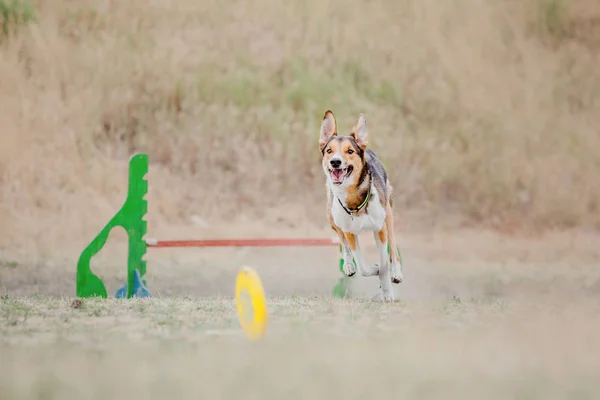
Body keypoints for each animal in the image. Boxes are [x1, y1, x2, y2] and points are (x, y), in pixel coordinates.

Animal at [318, 109, 404, 300]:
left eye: (350, 151)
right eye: (329, 151)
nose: (335, 162)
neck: (355, 201)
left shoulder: (380, 229)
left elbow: (384, 262)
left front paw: (387, 290)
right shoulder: (349, 232)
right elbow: (363, 266)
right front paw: (373, 269)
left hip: (388, 214)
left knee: (393, 247)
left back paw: (396, 272)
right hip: (331, 217)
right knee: (343, 243)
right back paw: (349, 265)